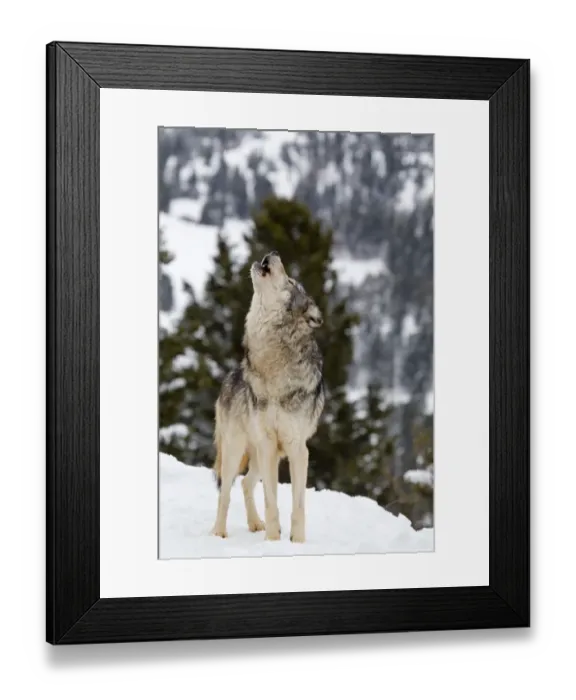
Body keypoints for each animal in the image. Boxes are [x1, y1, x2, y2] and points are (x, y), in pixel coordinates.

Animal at [210, 250, 325, 544]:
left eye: (292, 281)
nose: (272, 253)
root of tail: (231, 375)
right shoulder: (269, 446)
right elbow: (271, 501)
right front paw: (273, 541)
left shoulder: (297, 449)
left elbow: (298, 505)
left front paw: (296, 542)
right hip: (237, 450)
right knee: (225, 492)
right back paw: (219, 532)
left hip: (259, 456)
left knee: (245, 483)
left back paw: (254, 524)